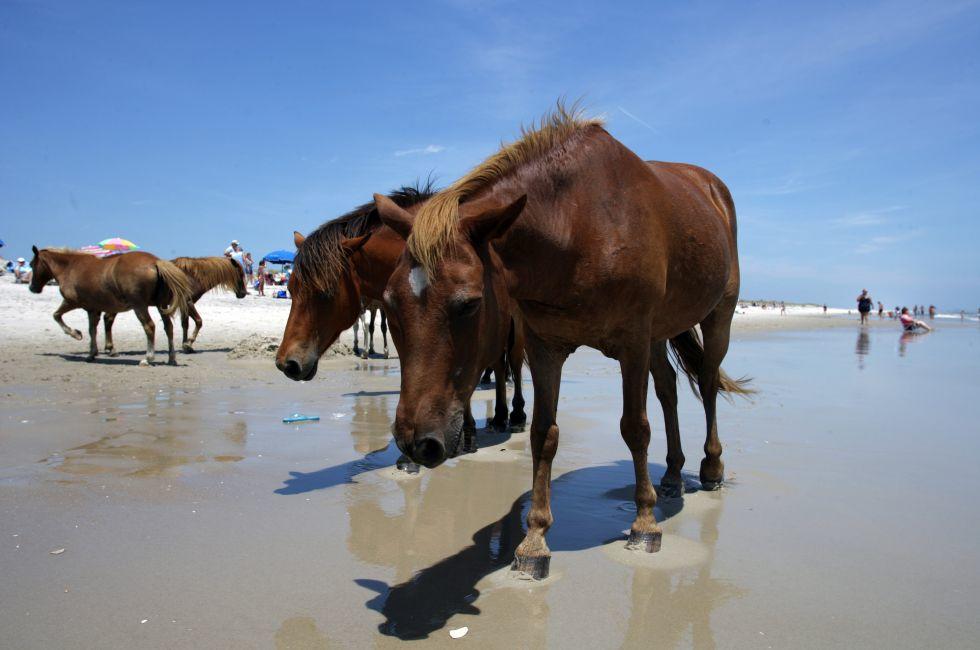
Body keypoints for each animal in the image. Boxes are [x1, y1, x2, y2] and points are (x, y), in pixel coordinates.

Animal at [29, 247, 193, 366]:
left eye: (31, 265)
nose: (32, 288)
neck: (70, 267)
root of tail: (156, 262)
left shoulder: (72, 302)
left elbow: (57, 315)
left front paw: (76, 334)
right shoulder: (93, 309)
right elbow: (92, 330)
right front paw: (91, 353)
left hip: (140, 306)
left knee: (149, 327)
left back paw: (148, 358)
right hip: (161, 305)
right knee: (168, 328)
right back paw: (171, 358)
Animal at [275, 184, 527, 439]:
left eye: (325, 292)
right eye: (291, 289)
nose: (287, 363)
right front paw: (465, 428)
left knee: (513, 362)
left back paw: (516, 415)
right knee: (498, 363)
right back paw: (499, 416)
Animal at [374, 104, 751, 579]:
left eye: (469, 304)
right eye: (389, 302)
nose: (415, 442)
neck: (578, 225)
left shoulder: (632, 342)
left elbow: (635, 428)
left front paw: (644, 524)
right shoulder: (544, 348)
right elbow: (543, 433)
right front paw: (535, 538)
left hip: (718, 315)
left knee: (707, 382)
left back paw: (710, 467)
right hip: (659, 333)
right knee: (668, 389)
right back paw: (671, 475)